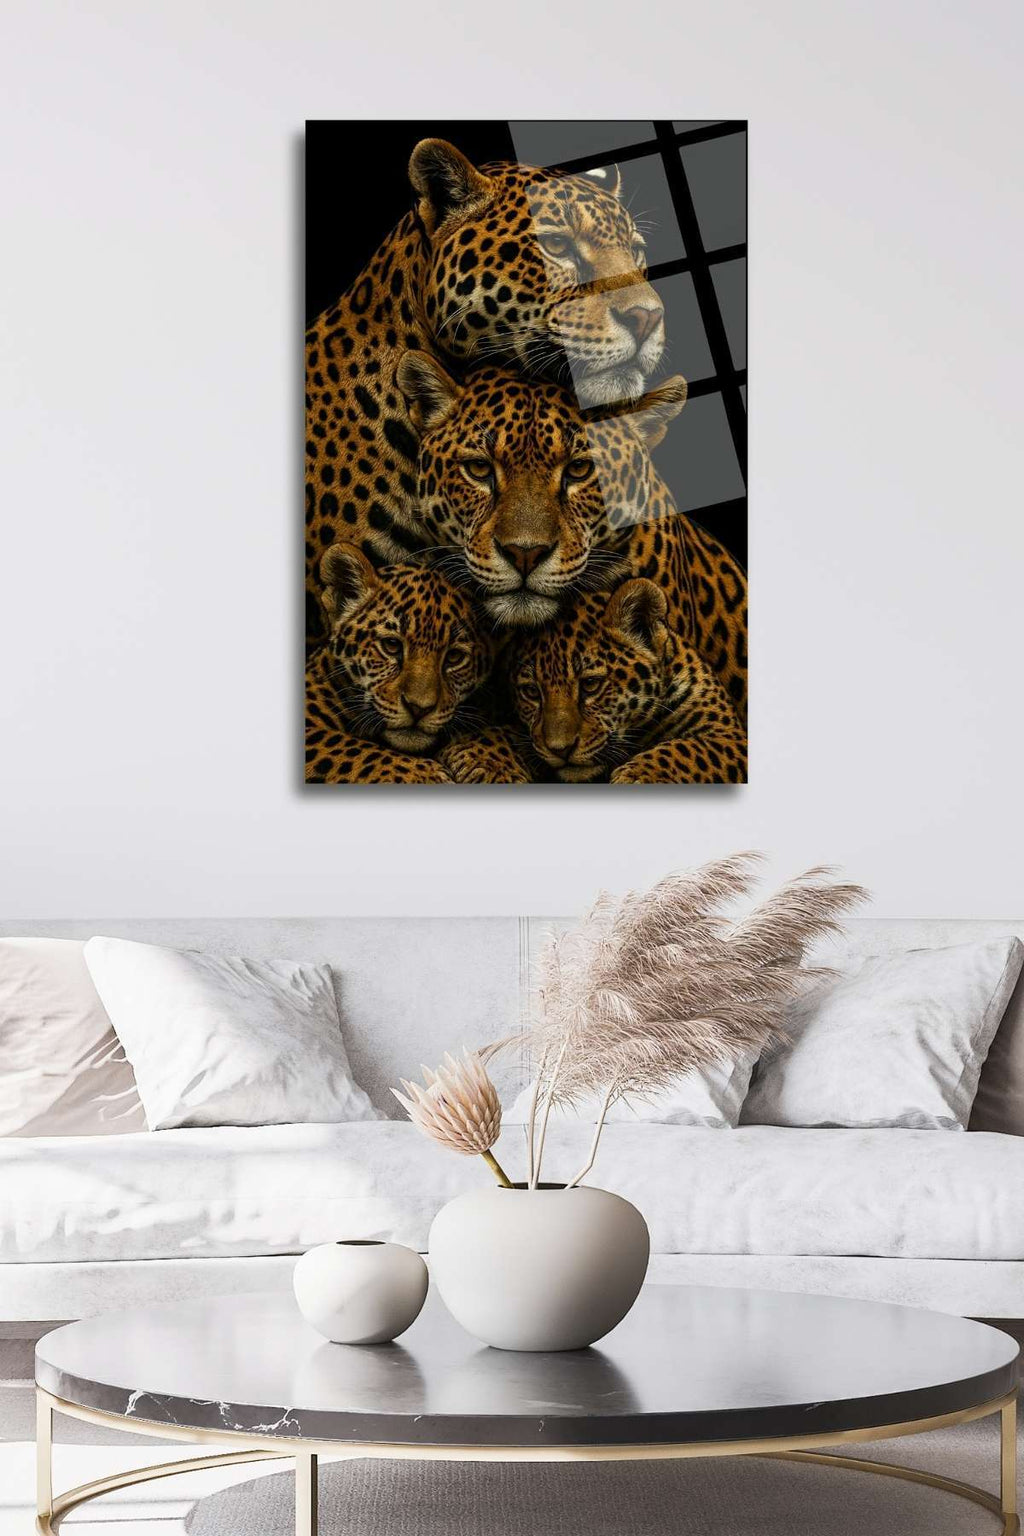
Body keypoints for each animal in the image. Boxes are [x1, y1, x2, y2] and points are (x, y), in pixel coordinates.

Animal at [508, 578, 747, 785]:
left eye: (591, 684)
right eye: (531, 691)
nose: (560, 750)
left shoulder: (729, 736)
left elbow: (686, 750)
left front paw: (638, 775)